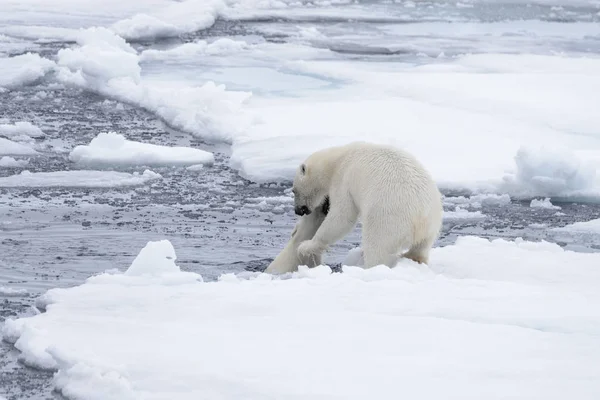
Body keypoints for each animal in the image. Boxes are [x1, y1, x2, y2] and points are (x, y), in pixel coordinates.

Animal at [292, 141, 442, 268]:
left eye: (294, 190)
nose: (298, 210)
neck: (338, 159)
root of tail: (421, 216)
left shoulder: (344, 178)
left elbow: (342, 216)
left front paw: (305, 246)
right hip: (432, 224)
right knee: (421, 247)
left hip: (388, 217)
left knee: (377, 246)